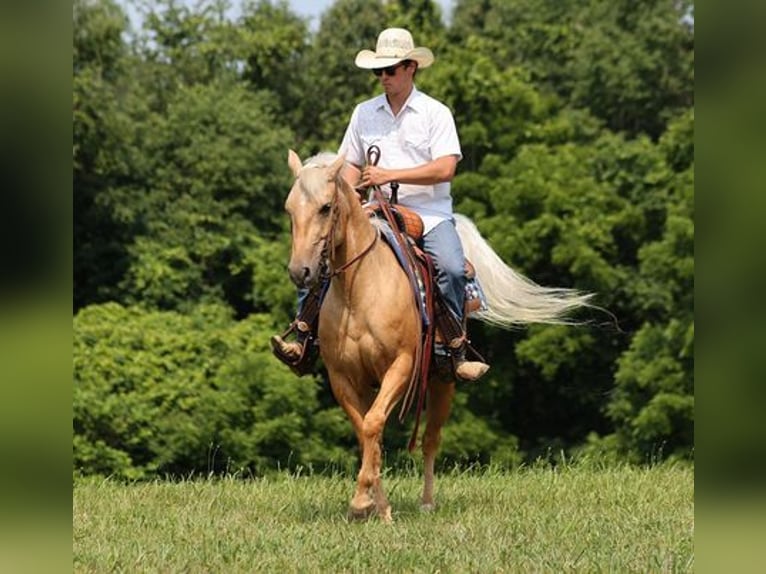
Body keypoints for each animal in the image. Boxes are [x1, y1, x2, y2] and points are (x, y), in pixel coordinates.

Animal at [284, 151, 592, 524]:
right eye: (289, 208)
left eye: (326, 207)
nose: (300, 272)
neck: (359, 290)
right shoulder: (342, 377)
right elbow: (367, 431)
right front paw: (374, 504)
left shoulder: (402, 366)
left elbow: (373, 425)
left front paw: (362, 501)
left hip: (443, 380)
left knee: (431, 439)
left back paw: (427, 502)